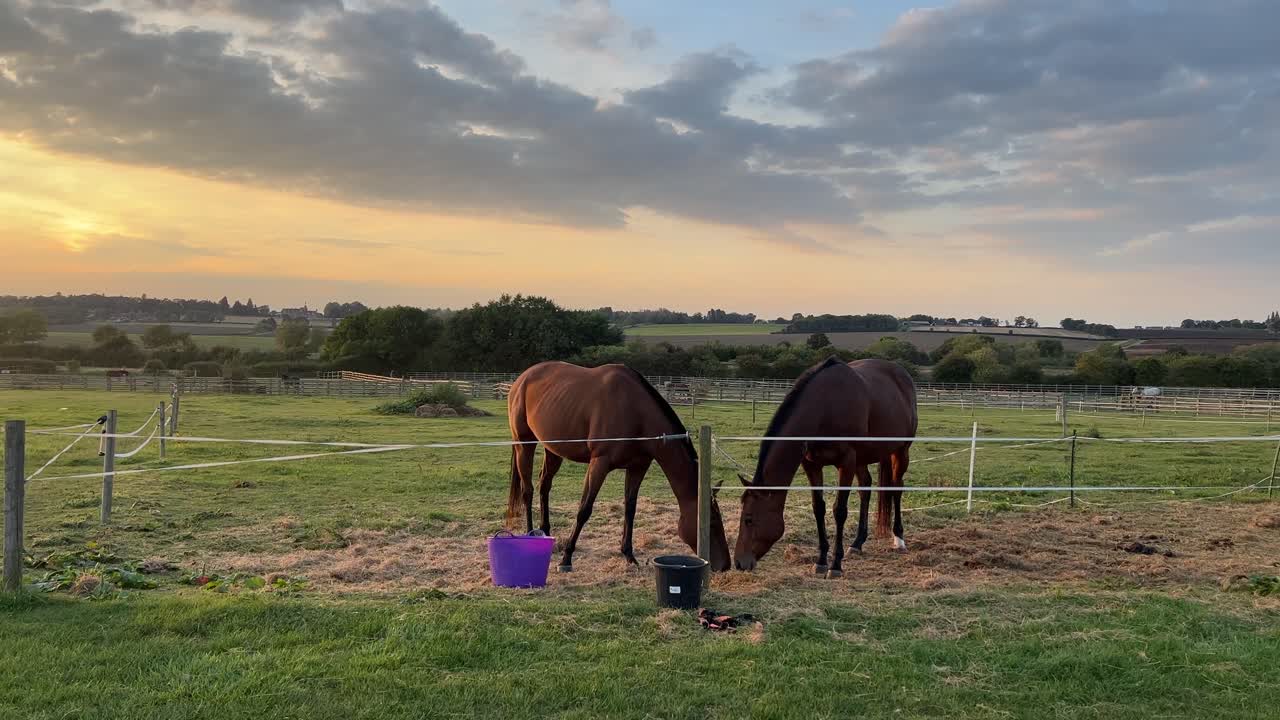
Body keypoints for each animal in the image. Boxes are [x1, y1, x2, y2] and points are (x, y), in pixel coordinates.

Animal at [506, 361, 731, 572]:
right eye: (712, 522)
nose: (725, 565)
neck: (636, 413)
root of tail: (521, 379)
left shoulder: (638, 467)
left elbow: (630, 508)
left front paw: (629, 556)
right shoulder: (599, 463)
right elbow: (584, 509)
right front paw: (567, 558)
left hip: (552, 449)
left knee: (544, 486)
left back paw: (546, 534)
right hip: (524, 443)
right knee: (527, 490)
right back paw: (530, 536)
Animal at [733, 357, 917, 576]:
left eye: (749, 519)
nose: (738, 562)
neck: (824, 408)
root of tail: (902, 374)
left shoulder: (846, 462)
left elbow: (840, 510)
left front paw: (836, 564)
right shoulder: (812, 465)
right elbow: (818, 508)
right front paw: (821, 561)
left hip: (900, 451)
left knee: (896, 488)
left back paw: (899, 539)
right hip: (863, 458)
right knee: (865, 489)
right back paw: (857, 543)